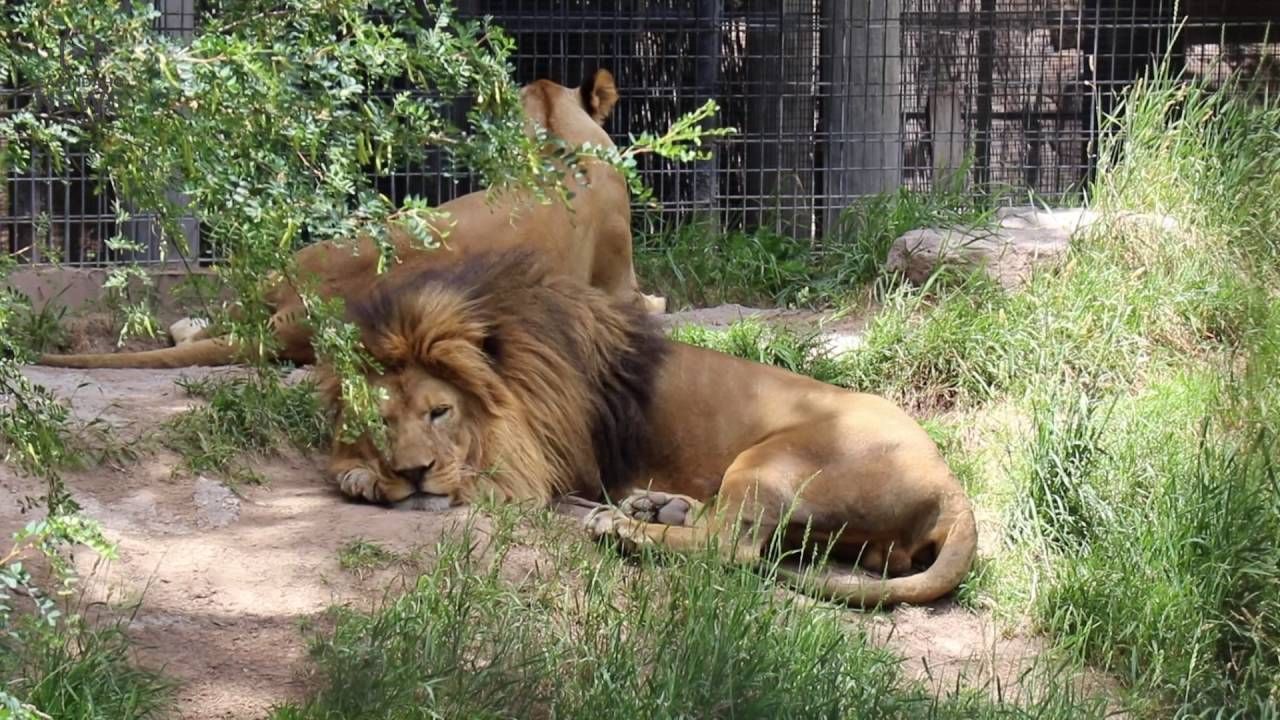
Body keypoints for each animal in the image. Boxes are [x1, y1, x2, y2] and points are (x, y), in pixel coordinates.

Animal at [38, 67, 660, 366]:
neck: (556, 140)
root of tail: (302, 315)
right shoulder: (620, 286)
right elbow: (654, 301)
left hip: (282, 267)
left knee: (210, 321)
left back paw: (186, 325)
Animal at [325, 249, 972, 602]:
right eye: (382, 420)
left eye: (441, 411)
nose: (412, 472)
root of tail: (950, 484)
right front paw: (365, 473)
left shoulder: (530, 470)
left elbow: (475, 482)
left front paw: (374, 480)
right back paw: (657, 508)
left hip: (771, 459)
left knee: (731, 546)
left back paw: (623, 528)